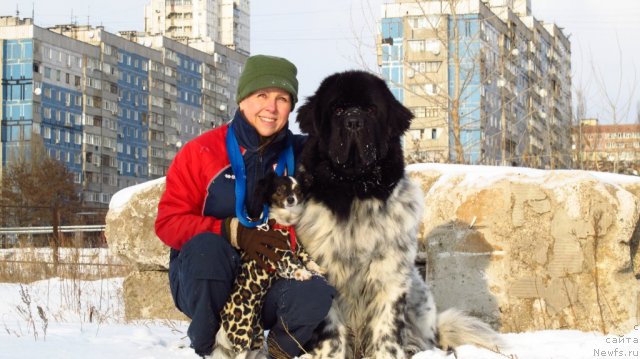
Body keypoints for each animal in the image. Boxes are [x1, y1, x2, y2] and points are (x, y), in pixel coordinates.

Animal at [296, 71, 500, 358]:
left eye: (371, 109)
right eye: (337, 110)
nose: (354, 122)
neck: (355, 190)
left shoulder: (390, 274)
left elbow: (387, 328)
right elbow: (331, 332)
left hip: (419, 295)